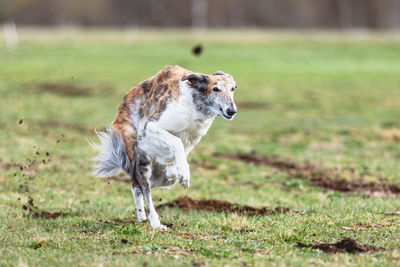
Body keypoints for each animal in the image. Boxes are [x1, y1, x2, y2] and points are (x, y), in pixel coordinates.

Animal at [91, 65, 238, 230]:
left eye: (233, 88)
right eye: (215, 89)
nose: (232, 111)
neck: (195, 106)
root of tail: (123, 104)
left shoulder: (189, 140)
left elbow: (176, 160)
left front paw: (176, 171)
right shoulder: (150, 127)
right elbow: (176, 143)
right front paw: (184, 175)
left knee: (138, 185)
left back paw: (142, 218)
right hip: (141, 160)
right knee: (142, 188)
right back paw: (155, 223)